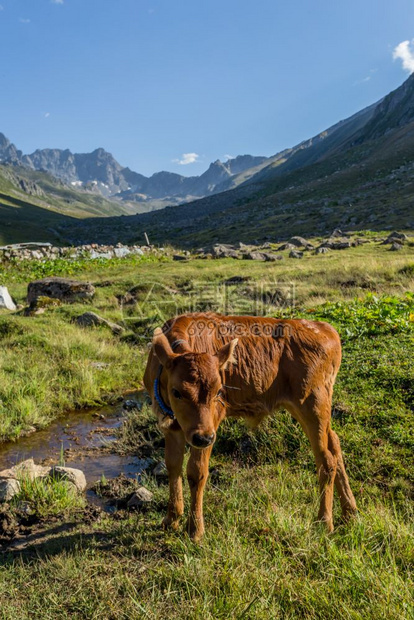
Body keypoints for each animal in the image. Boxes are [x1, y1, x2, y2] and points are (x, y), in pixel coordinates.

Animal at [142, 312, 356, 540]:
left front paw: (195, 531)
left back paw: (324, 522)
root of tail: (325, 329)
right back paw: (350, 511)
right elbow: (173, 466)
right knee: (334, 443)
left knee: (326, 460)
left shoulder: (211, 423)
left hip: (313, 404)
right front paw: (170, 520)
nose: (203, 438)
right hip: (310, 408)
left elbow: (196, 472)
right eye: (177, 392)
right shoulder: (172, 428)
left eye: (219, 391)